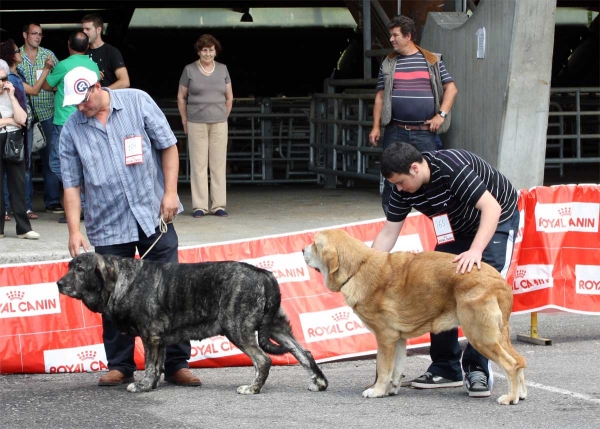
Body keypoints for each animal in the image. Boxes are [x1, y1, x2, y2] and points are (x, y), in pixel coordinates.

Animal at [56, 251, 328, 394]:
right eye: (69, 266)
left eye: (80, 270)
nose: (58, 283)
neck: (122, 281)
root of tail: (265, 275)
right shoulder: (159, 338)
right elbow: (157, 365)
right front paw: (151, 384)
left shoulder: (150, 335)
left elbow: (151, 365)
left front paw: (143, 385)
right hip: (278, 328)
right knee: (304, 353)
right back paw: (319, 382)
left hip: (237, 327)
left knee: (263, 360)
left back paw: (252, 388)